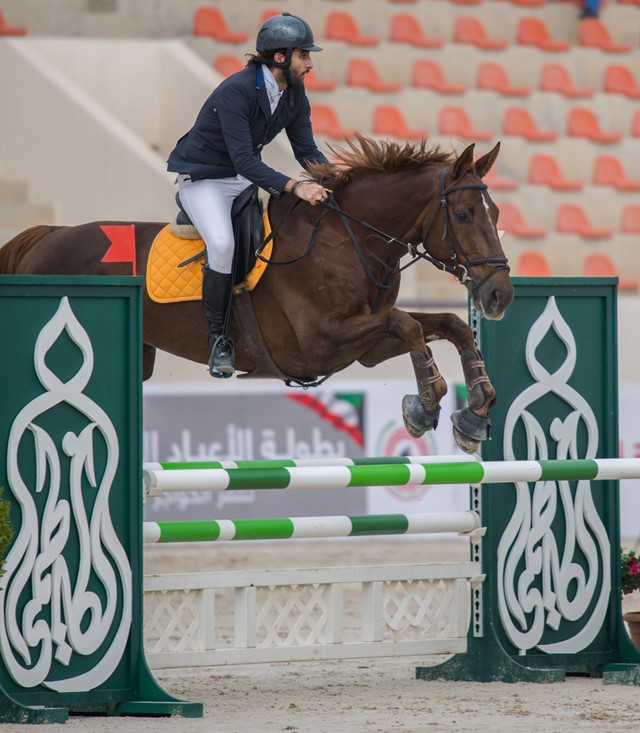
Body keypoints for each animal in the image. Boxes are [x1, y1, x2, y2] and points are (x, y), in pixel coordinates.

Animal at [0, 134, 513, 454]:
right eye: (464, 215)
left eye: (496, 212)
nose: (500, 296)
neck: (349, 237)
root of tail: (45, 236)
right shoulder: (322, 343)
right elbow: (409, 325)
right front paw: (425, 405)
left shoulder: (363, 347)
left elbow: (446, 325)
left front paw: (474, 413)